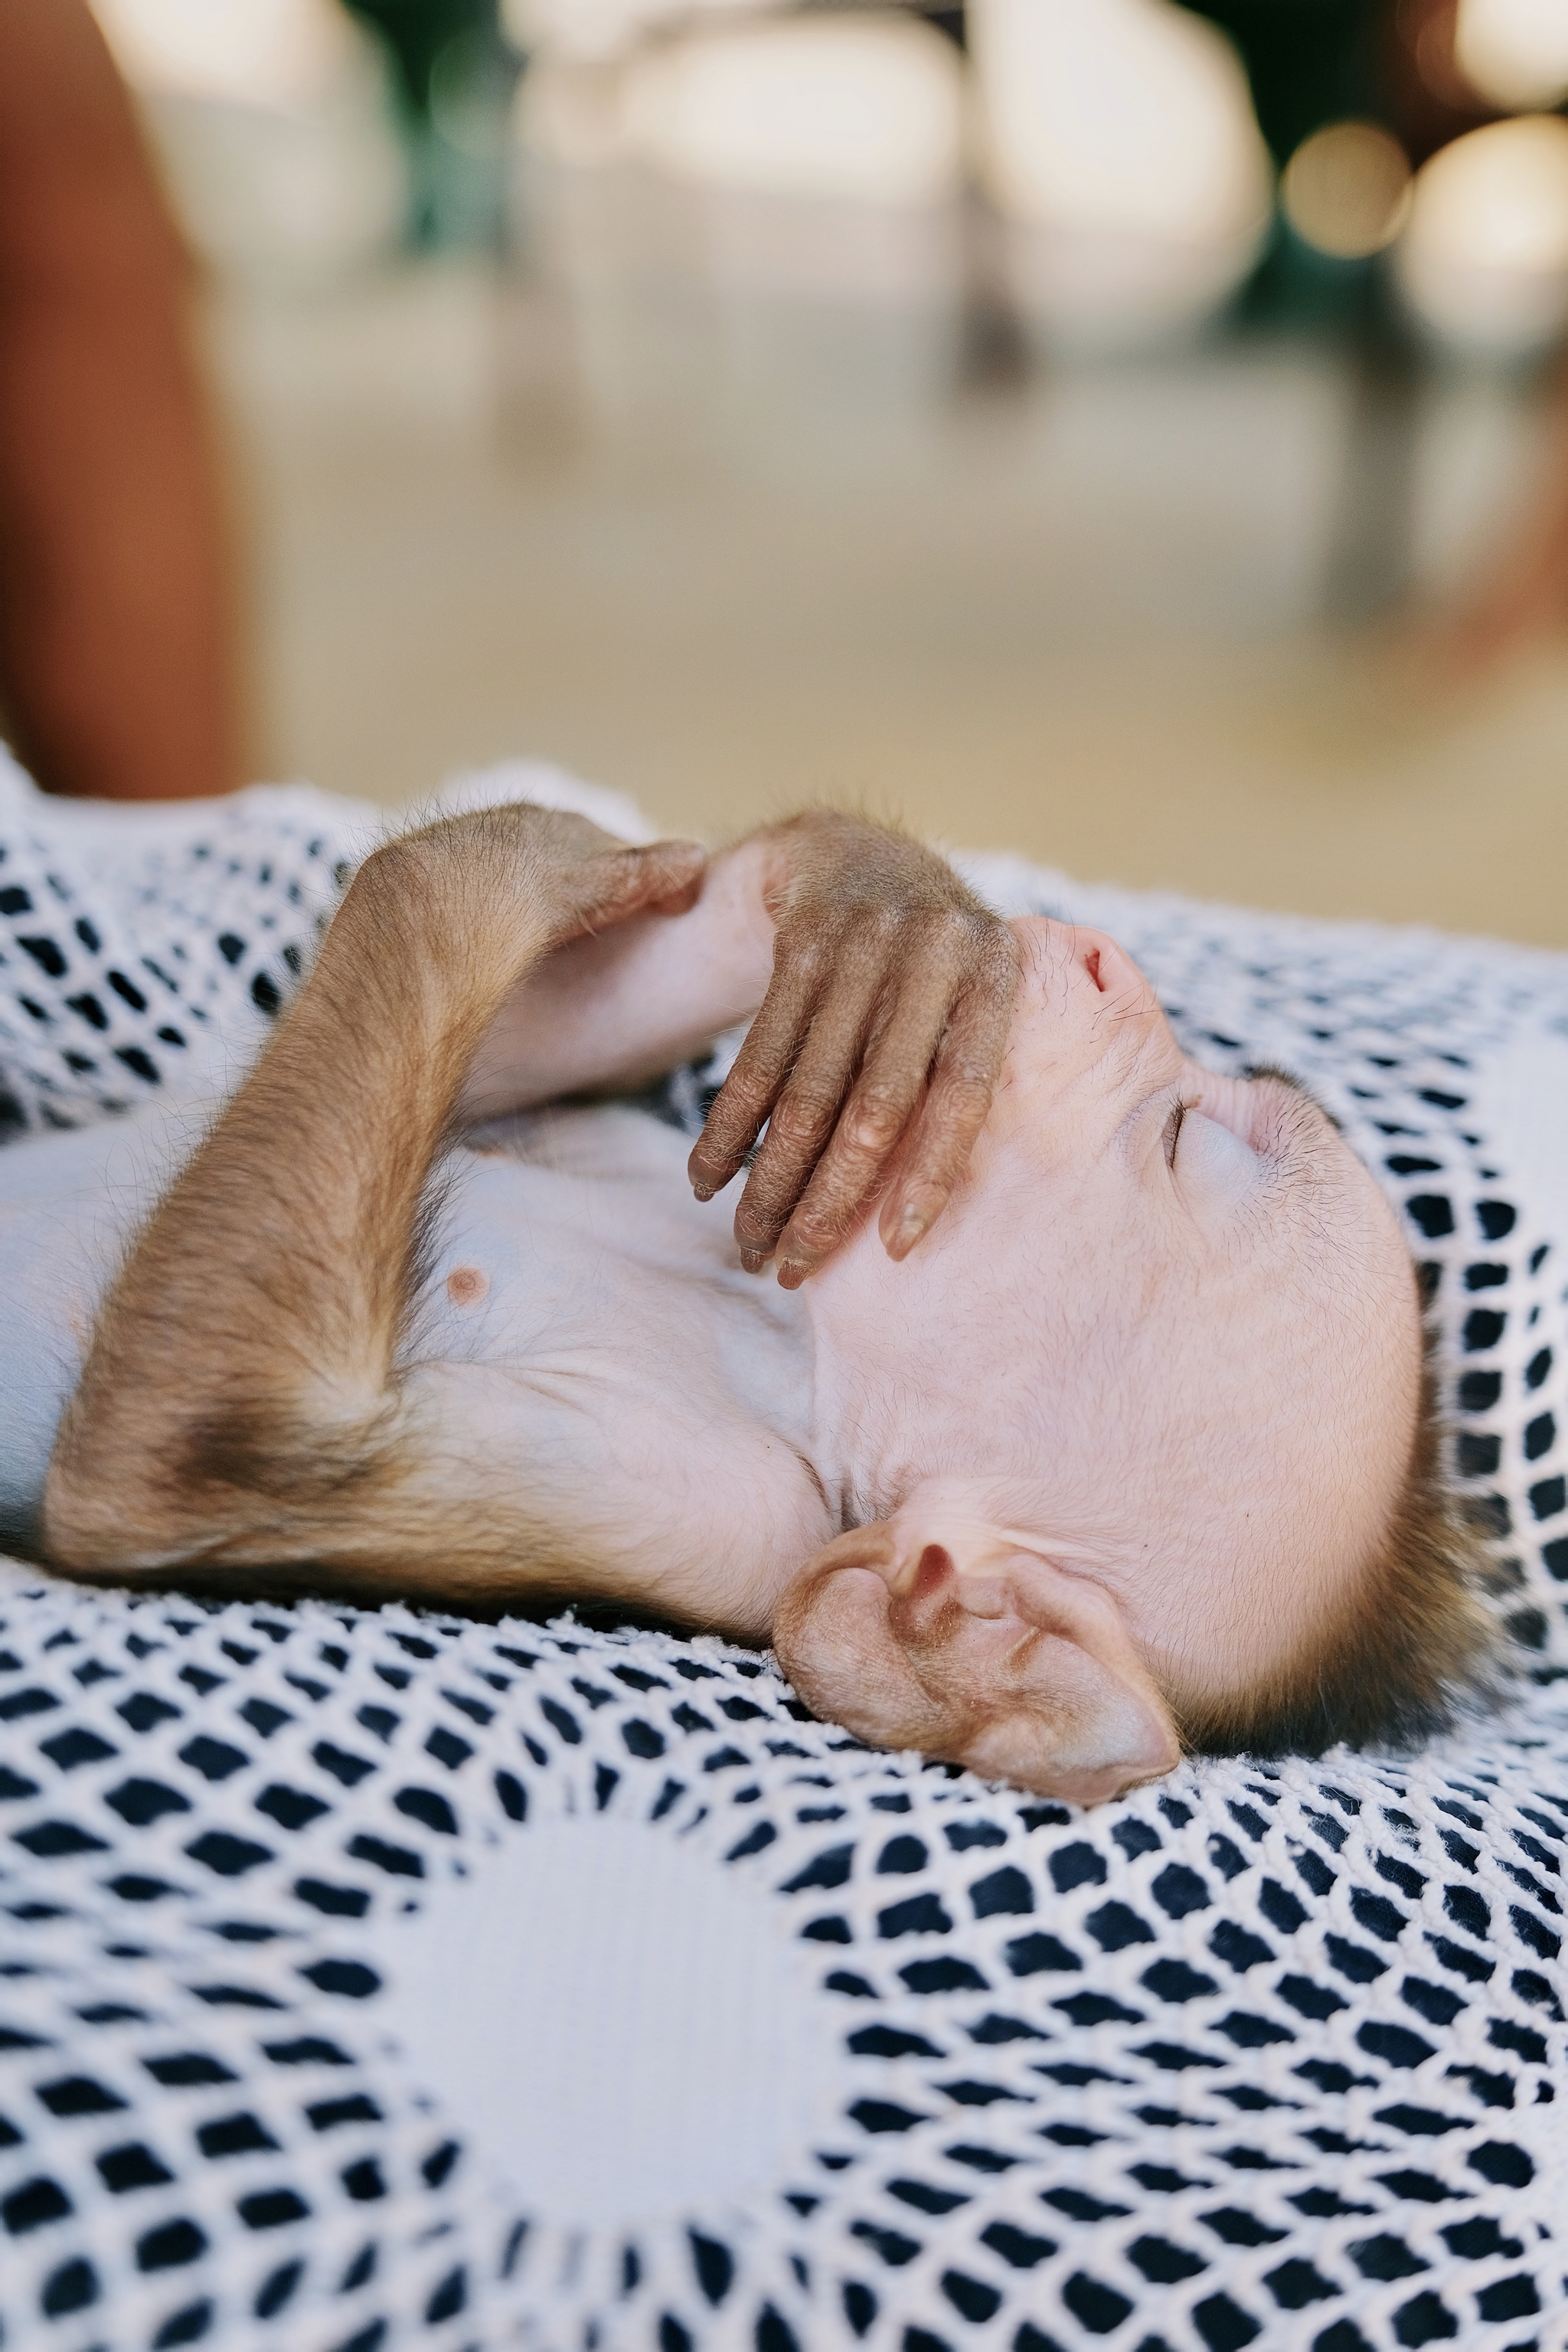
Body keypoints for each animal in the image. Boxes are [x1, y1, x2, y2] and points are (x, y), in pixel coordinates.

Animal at [34, 804, 1485, 1797]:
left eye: (1189, 1138)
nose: (1100, 960)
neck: (785, 1336)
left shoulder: (718, 1503)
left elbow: (180, 1460)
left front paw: (506, 856)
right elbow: (496, 1063)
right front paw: (879, 906)